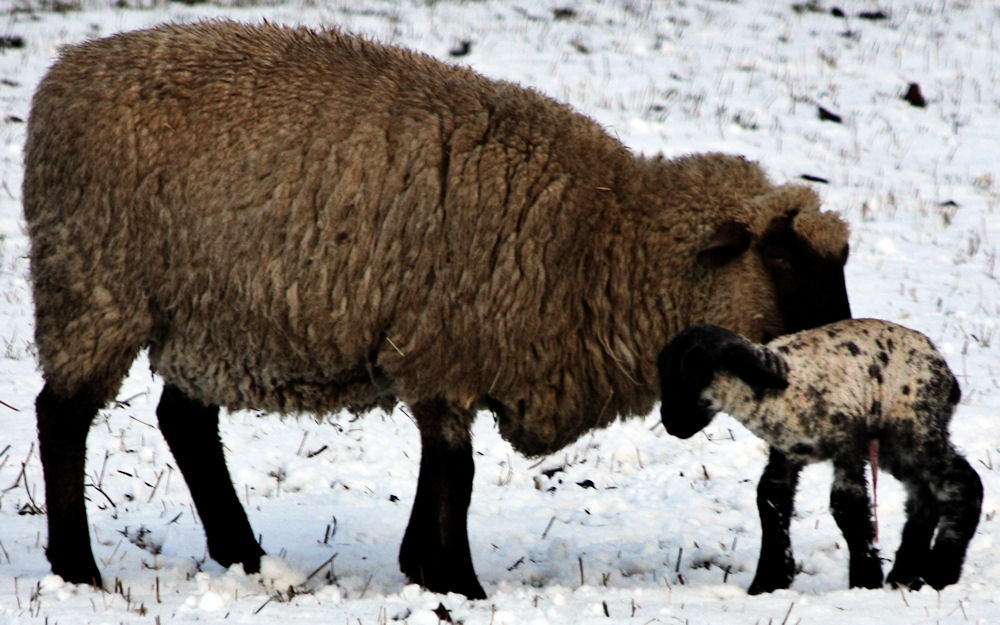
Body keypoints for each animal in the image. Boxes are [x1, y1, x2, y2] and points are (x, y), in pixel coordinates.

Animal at [23, 19, 852, 596]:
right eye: (782, 258)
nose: (836, 351)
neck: (597, 238)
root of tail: (62, 75)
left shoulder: (442, 350)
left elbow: (445, 463)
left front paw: (429, 567)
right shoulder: (446, 343)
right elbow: (458, 469)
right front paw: (456, 580)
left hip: (205, 312)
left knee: (185, 422)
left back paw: (245, 554)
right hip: (95, 287)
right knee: (63, 415)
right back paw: (79, 568)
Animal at [660, 320, 980, 592]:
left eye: (694, 372)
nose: (670, 424)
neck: (783, 386)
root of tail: (947, 375)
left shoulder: (848, 443)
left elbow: (847, 506)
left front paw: (864, 581)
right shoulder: (785, 452)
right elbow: (770, 500)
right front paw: (769, 581)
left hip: (916, 427)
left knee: (964, 483)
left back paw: (939, 574)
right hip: (894, 446)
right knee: (925, 498)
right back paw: (904, 575)